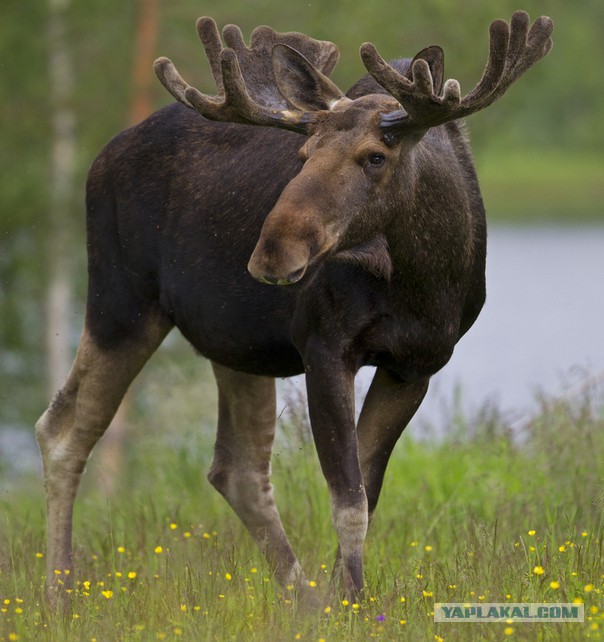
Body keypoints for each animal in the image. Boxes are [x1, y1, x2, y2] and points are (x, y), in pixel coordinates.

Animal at [34, 10, 552, 604]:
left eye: (376, 156)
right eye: (302, 156)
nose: (271, 253)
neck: (424, 280)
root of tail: (99, 158)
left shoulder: (415, 366)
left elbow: (367, 490)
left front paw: (343, 599)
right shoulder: (324, 347)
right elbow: (348, 500)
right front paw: (353, 603)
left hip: (232, 341)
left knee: (236, 468)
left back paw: (302, 602)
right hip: (121, 304)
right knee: (64, 430)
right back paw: (58, 597)